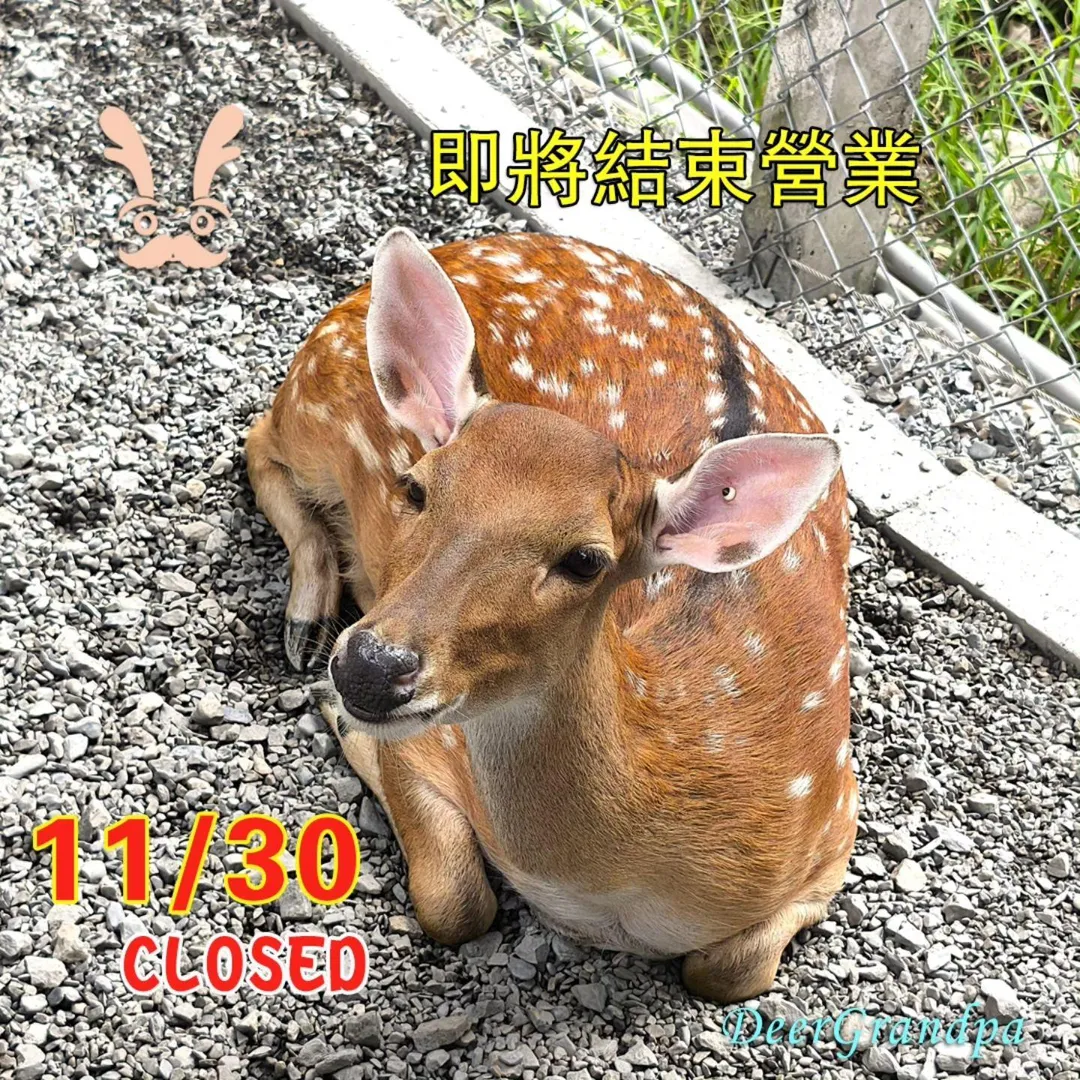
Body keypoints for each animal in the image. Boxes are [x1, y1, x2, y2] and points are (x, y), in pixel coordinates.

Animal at [246, 226, 857, 1003]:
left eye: (586, 560)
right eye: (415, 488)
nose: (370, 668)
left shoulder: (834, 821)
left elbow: (728, 969)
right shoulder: (435, 740)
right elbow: (456, 901)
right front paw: (337, 719)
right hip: (315, 406)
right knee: (257, 435)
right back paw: (307, 618)